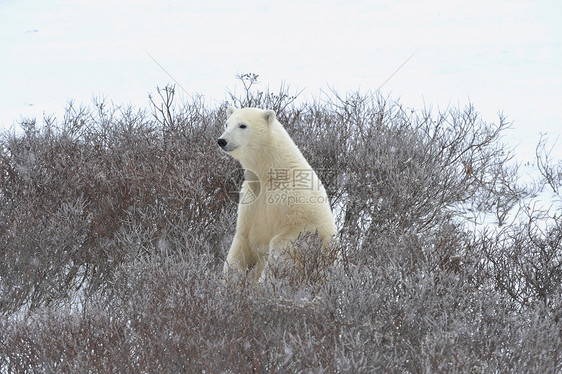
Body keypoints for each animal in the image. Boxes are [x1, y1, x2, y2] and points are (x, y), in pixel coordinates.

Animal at [217, 106, 334, 280]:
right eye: (226, 123)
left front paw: (265, 279)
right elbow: (241, 239)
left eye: (242, 125)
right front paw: (231, 278)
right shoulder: (251, 198)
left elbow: (286, 239)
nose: (222, 141)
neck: (272, 173)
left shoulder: (293, 197)